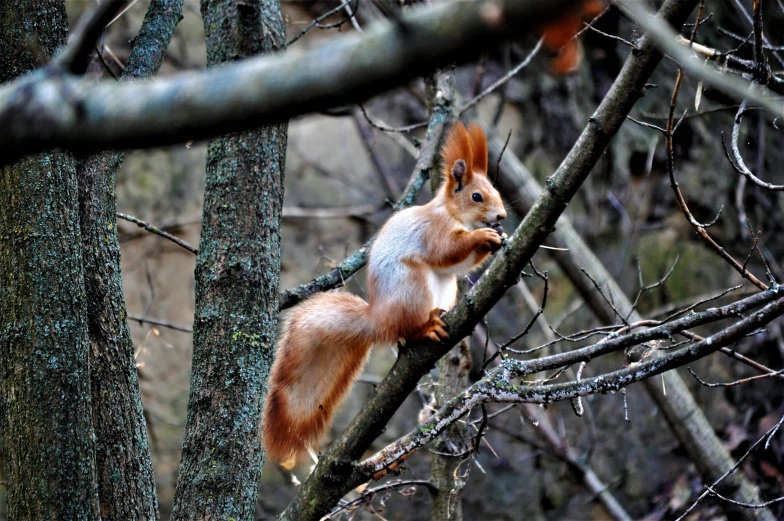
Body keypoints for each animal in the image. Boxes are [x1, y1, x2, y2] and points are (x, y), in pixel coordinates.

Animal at [264, 123, 508, 468]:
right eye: (477, 196)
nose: (501, 217)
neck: (450, 213)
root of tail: (378, 318)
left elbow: (458, 262)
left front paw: (495, 239)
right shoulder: (433, 231)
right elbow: (446, 250)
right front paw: (482, 236)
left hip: (444, 288)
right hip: (411, 285)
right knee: (406, 327)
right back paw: (426, 327)